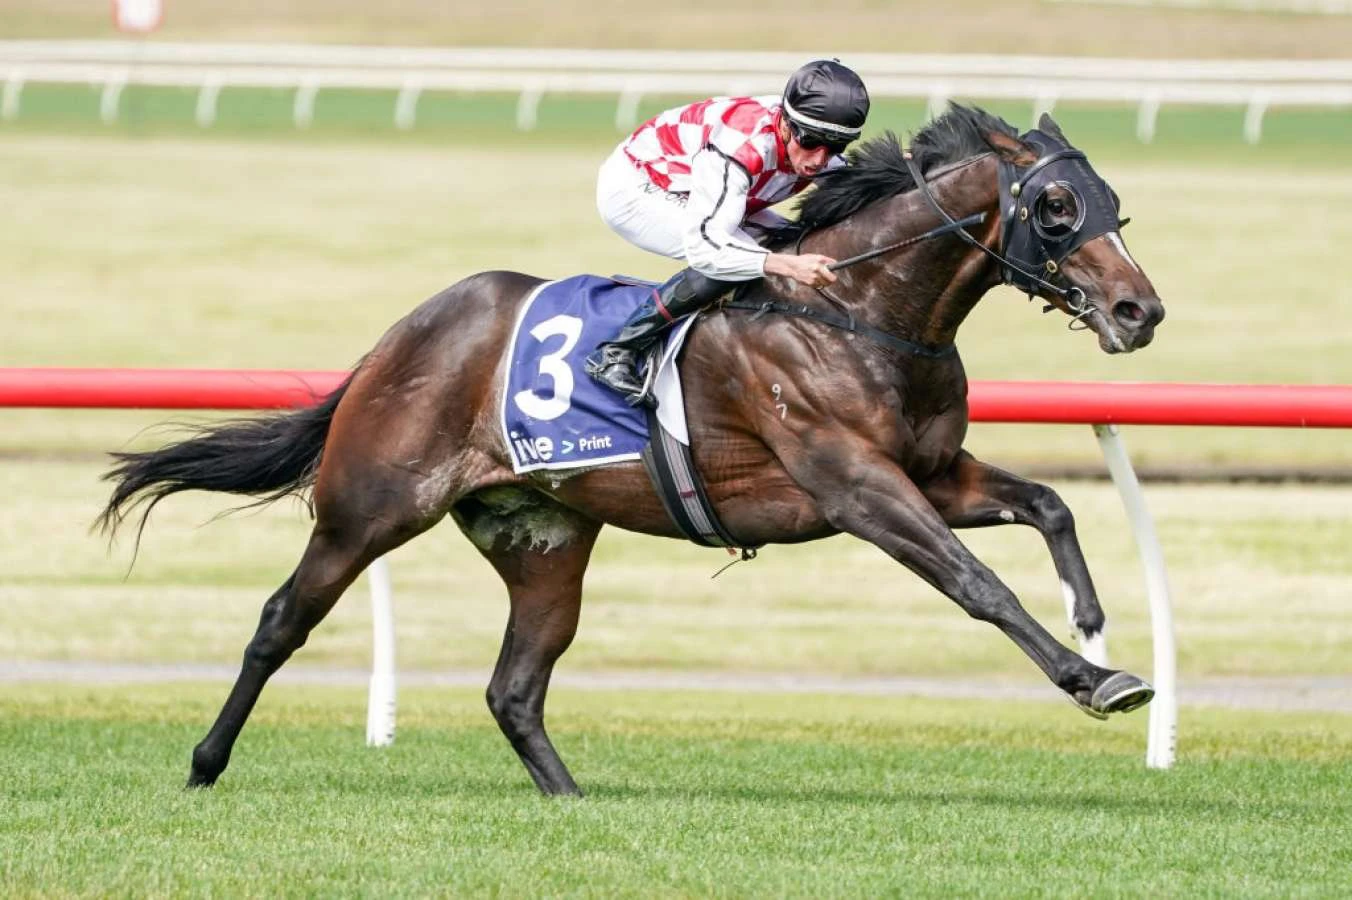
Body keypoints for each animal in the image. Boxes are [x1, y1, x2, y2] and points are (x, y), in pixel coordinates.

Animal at [98, 105, 1166, 796]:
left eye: (1117, 203)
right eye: (1057, 207)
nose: (1138, 311)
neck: (861, 310)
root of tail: (396, 340)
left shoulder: (934, 474)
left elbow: (1050, 505)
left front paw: (1094, 624)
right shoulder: (857, 488)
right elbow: (976, 584)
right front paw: (1097, 682)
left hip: (544, 538)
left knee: (515, 687)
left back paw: (571, 801)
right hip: (370, 508)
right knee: (282, 621)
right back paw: (203, 765)